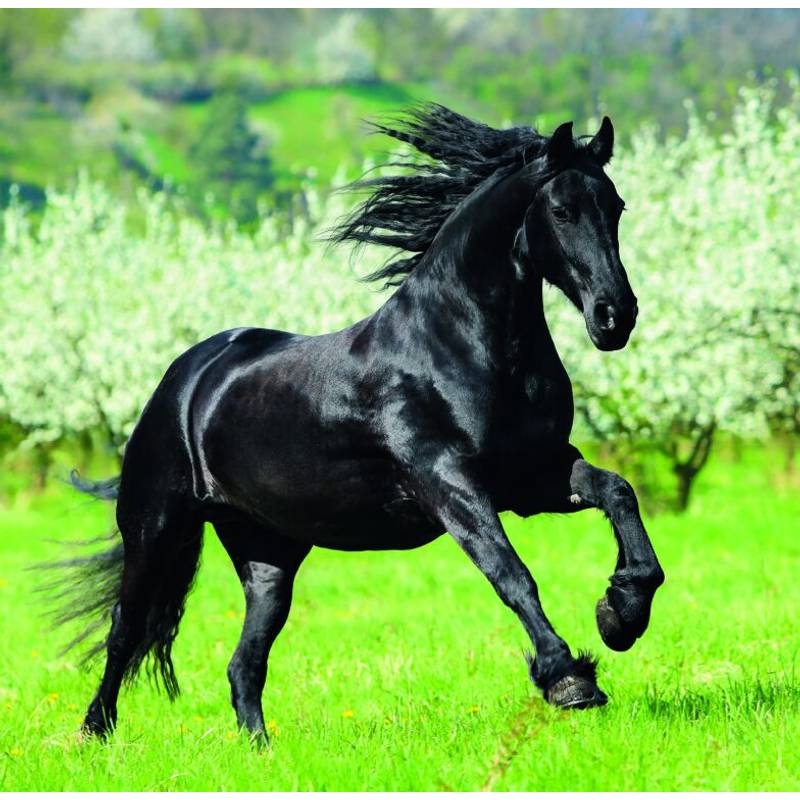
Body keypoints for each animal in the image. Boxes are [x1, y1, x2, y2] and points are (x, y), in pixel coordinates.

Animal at [51, 104, 664, 743]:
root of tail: (185, 378)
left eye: (616, 206)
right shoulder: (449, 484)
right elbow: (510, 572)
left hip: (268, 553)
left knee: (244, 663)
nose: (615, 317)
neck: (461, 345)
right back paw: (94, 733)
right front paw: (569, 678)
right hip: (156, 527)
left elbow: (618, 493)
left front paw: (620, 613)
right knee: (125, 628)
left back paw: (260, 749)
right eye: (562, 211)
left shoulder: (532, 476)